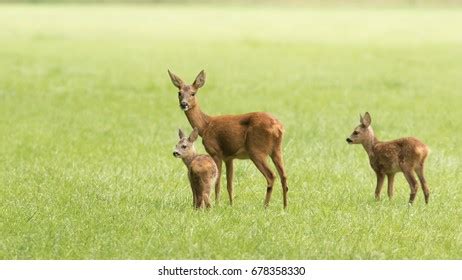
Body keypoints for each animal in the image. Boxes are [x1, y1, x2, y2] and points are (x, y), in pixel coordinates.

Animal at [168, 69, 286, 208]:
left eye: (193, 93)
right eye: (179, 93)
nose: (184, 104)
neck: (206, 126)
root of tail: (278, 127)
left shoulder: (216, 152)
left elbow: (218, 182)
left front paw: (218, 203)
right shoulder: (229, 157)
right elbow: (230, 184)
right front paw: (231, 204)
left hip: (257, 150)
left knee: (271, 176)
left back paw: (265, 206)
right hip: (276, 150)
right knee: (284, 175)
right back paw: (285, 206)